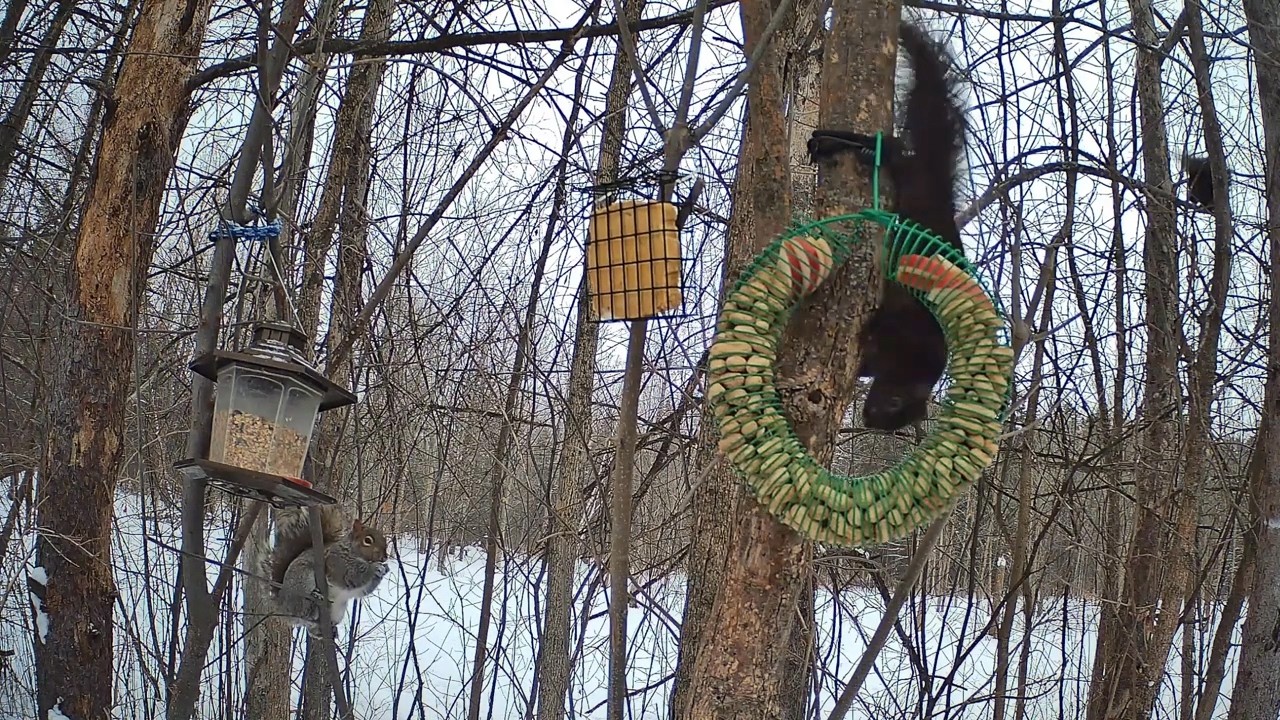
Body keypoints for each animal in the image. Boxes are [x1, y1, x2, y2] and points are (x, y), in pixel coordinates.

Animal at [268, 504, 390, 637]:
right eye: (367, 540)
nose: (385, 557)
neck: (353, 551)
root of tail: (283, 606)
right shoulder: (336, 563)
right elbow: (351, 576)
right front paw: (375, 567)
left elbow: (363, 590)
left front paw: (384, 569)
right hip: (302, 579)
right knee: (303, 611)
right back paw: (314, 600)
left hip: (338, 611)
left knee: (311, 627)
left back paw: (327, 630)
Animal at [807, 21, 970, 432]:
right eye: (895, 401)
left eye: (894, 419)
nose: (871, 417)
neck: (916, 363)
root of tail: (940, 184)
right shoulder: (903, 328)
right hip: (909, 173)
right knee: (891, 148)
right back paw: (835, 143)